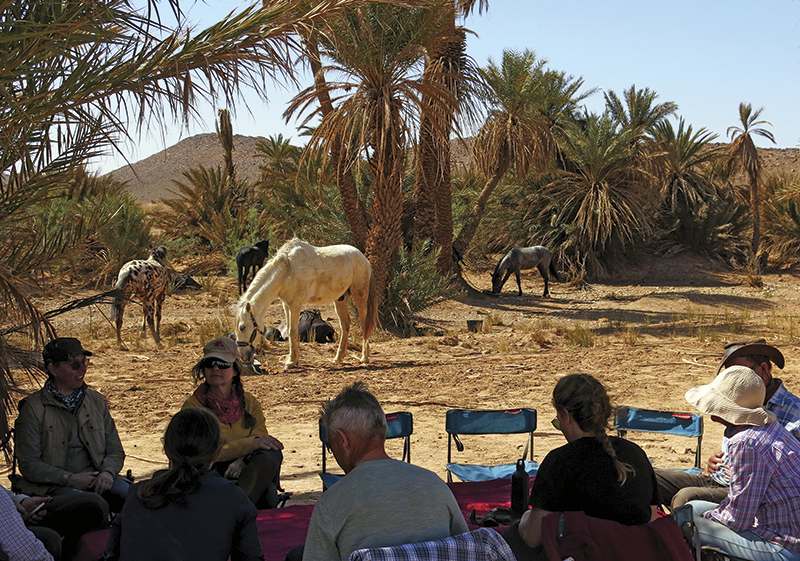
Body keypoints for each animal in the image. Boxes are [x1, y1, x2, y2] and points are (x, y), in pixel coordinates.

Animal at [234, 238, 378, 369]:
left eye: (242, 327)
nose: (243, 357)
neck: (286, 271)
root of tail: (364, 258)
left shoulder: (295, 305)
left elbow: (292, 331)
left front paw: (291, 362)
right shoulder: (287, 305)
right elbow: (290, 331)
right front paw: (293, 360)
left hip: (360, 296)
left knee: (365, 325)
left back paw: (364, 358)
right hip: (340, 300)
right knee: (345, 325)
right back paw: (338, 358)